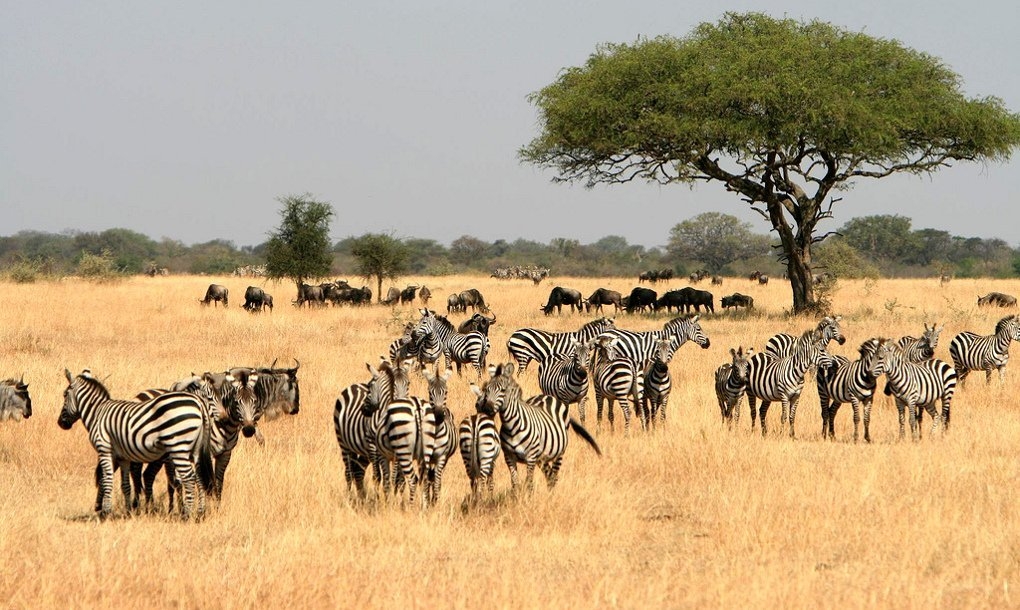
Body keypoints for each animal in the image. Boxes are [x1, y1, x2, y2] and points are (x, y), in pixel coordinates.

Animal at [58, 369, 214, 519]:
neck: (97, 412)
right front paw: (128, 512)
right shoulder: (123, 457)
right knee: (199, 477)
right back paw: (200, 513)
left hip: (178, 446)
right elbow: (125, 485)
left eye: (64, 395)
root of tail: (199, 403)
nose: (60, 423)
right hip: (196, 449)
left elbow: (107, 479)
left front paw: (106, 512)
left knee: (188, 478)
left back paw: (186, 515)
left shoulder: (105, 449)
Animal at [470, 362, 601, 493]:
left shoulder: (531, 457)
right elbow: (515, 483)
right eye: (487, 390)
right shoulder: (509, 456)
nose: (486, 409)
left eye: (503, 390)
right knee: (549, 475)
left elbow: (529, 483)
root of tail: (547, 396)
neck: (511, 426)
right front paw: (517, 497)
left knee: (554, 475)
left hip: (559, 453)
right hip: (542, 457)